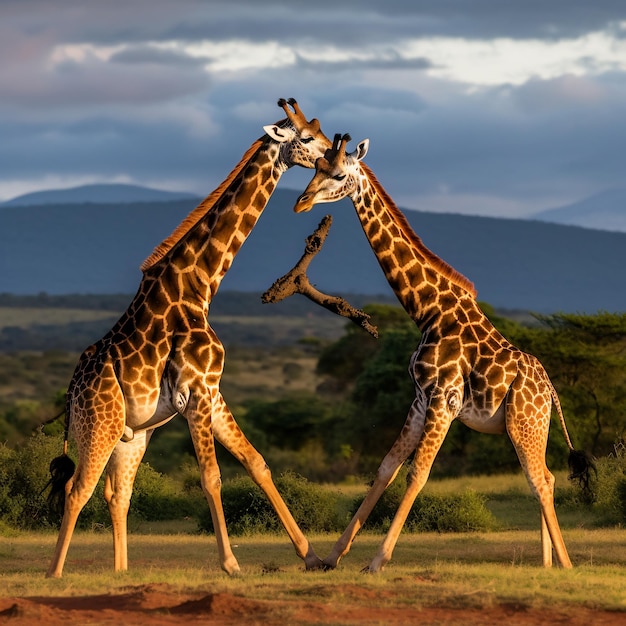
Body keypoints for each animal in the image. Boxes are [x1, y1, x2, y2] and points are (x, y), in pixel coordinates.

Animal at [45, 98, 332, 580]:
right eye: (308, 138)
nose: (335, 160)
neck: (200, 287)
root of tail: (70, 394)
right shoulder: (195, 391)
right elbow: (211, 477)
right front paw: (231, 564)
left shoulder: (212, 390)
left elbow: (257, 463)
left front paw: (311, 556)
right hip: (99, 424)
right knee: (76, 489)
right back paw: (55, 574)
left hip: (132, 434)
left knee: (116, 494)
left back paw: (122, 573)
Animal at [292, 133, 588, 572]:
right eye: (314, 167)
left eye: (340, 174)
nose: (302, 202)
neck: (428, 310)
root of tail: (550, 391)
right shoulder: (419, 399)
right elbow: (385, 468)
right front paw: (332, 556)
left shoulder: (443, 399)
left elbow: (418, 474)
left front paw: (378, 560)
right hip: (529, 426)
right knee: (544, 478)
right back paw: (547, 562)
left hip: (525, 422)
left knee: (540, 478)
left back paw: (565, 565)